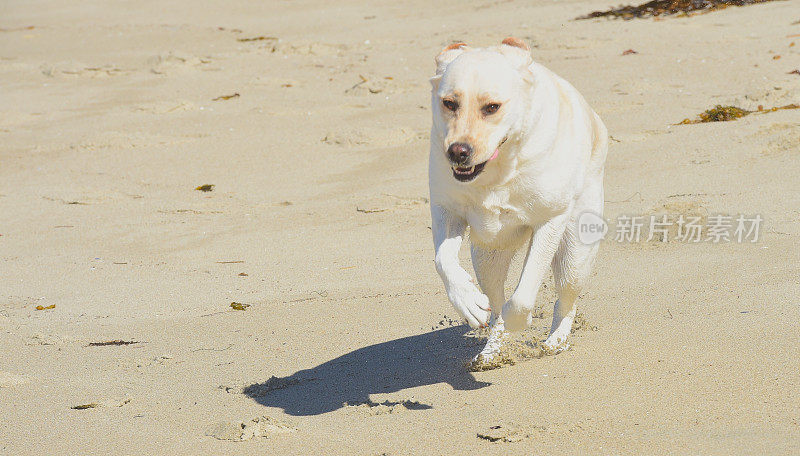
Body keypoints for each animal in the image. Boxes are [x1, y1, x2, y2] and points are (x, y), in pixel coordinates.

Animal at [428, 38, 608, 360]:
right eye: (449, 103)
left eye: (492, 107)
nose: (457, 152)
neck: (497, 172)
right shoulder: (446, 211)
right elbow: (443, 260)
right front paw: (469, 303)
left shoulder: (550, 220)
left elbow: (523, 296)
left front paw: (520, 322)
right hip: (487, 256)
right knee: (495, 300)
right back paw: (490, 352)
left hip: (575, 254)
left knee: (566, 300)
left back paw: (556, 340)